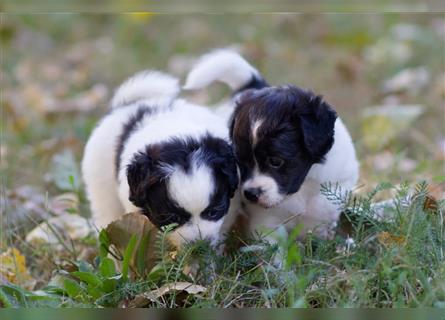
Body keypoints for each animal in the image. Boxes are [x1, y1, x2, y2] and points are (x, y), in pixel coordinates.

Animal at [80, 70, 239, 248]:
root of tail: (127, 105)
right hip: (100, 182)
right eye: (171, 218)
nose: (199, 245)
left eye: (215, 211)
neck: (177, 134)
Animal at [186, 49, 360, 240]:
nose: (250, 194)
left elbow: (320, 212)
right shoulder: (267, 221)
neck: (302, 187)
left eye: (275, 161)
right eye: (240, 161)